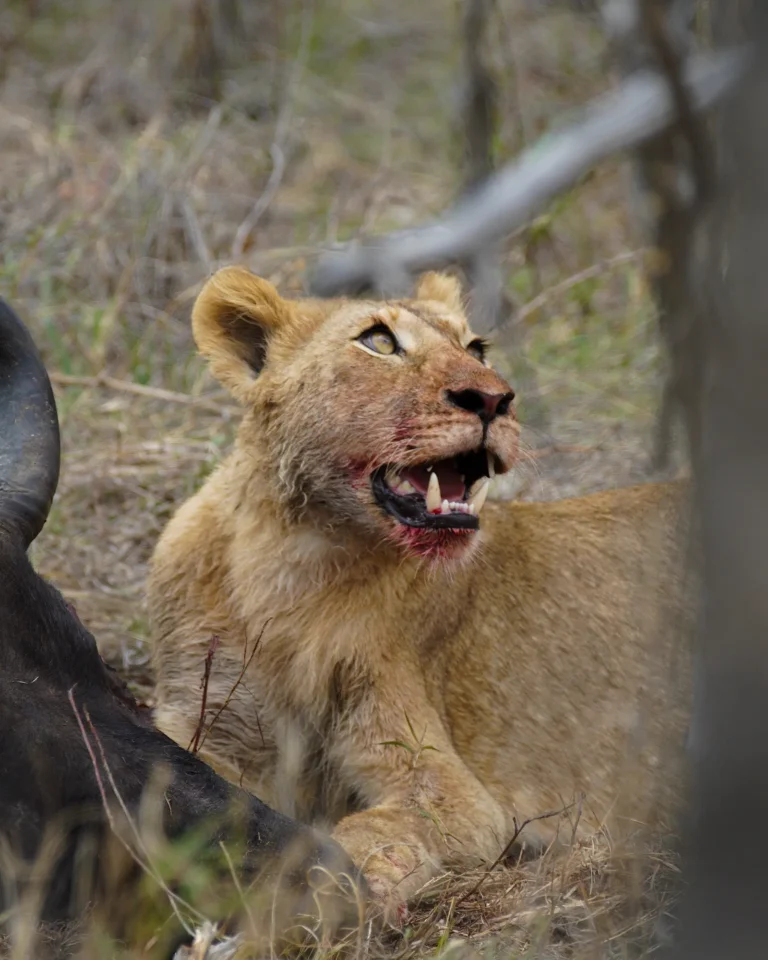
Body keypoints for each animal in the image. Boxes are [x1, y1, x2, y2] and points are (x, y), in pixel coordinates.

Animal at [148, 266, 693, 917]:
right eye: (379, 342)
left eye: (477, 349)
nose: (493, 399)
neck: (288, 563)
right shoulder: (205, 722)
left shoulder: (449, 787)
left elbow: (368, 832)